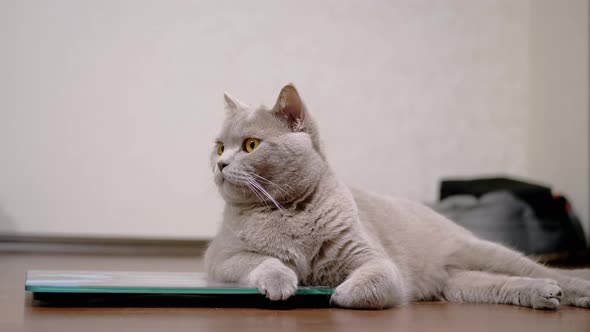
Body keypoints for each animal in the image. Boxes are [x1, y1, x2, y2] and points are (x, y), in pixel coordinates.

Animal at [207, 84, 590, 310]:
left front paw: (338, 294)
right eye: (220, 146)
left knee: (535, 267)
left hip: (482, 251)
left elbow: (379, 278)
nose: (221, 163)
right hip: (458, 283)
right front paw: (283, 281)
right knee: (505, 284)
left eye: (251, 145)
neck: (289, 211)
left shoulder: (375, 259)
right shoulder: (221, 258)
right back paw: (545, 293)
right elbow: (262, 261)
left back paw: (576, 288)